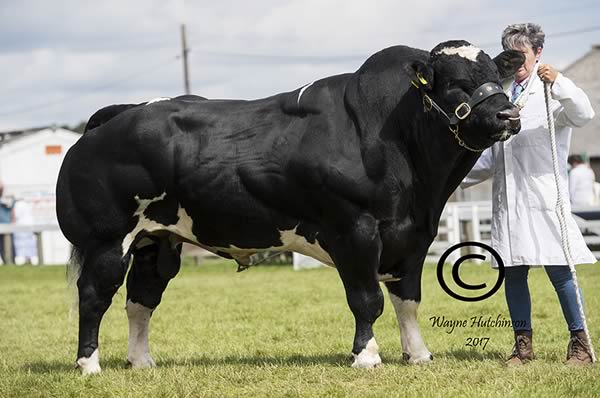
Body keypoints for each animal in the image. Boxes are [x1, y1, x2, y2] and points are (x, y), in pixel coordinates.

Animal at [57, 40, 524, 374]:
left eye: (494, 76)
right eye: (455, 82)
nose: (508, 115)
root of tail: (119, 115)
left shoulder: (413, 235)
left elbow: (407, 299)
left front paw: (419, 354)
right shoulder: (355, 230)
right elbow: (367, 298)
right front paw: (366, 357)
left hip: (157, 240)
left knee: (141, 299)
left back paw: (141, 362)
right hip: (106, 240)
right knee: (94, 296)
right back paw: (89, 365)